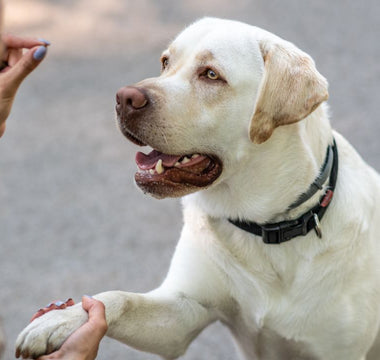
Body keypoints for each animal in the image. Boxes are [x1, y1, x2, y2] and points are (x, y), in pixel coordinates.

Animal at [14, 18, 380, 360]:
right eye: (165, 62)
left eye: (211, 75)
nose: (123, 98)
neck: (266, 228)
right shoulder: (182, 314)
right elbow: (117, 299)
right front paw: (60, 321)